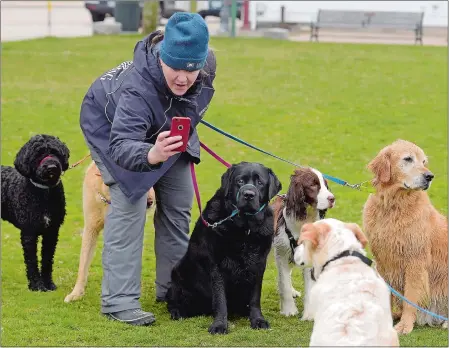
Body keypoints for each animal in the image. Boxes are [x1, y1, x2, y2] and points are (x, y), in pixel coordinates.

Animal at [1, 135, 69, 292]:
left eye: (55, 152)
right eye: (38, 154)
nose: (51, 167)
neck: (44, 193)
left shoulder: (52, 231)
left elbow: (47, 259)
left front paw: (48, 283)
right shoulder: (29, 233)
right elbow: (31, 260)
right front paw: (36, 285)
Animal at [362, 140, 446, 336]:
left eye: (424, 161)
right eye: (408, 159)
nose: (430, 176)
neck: (394, 205)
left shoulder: (415, 261)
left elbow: (410, 297)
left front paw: (405, 325)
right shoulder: (383, 261)